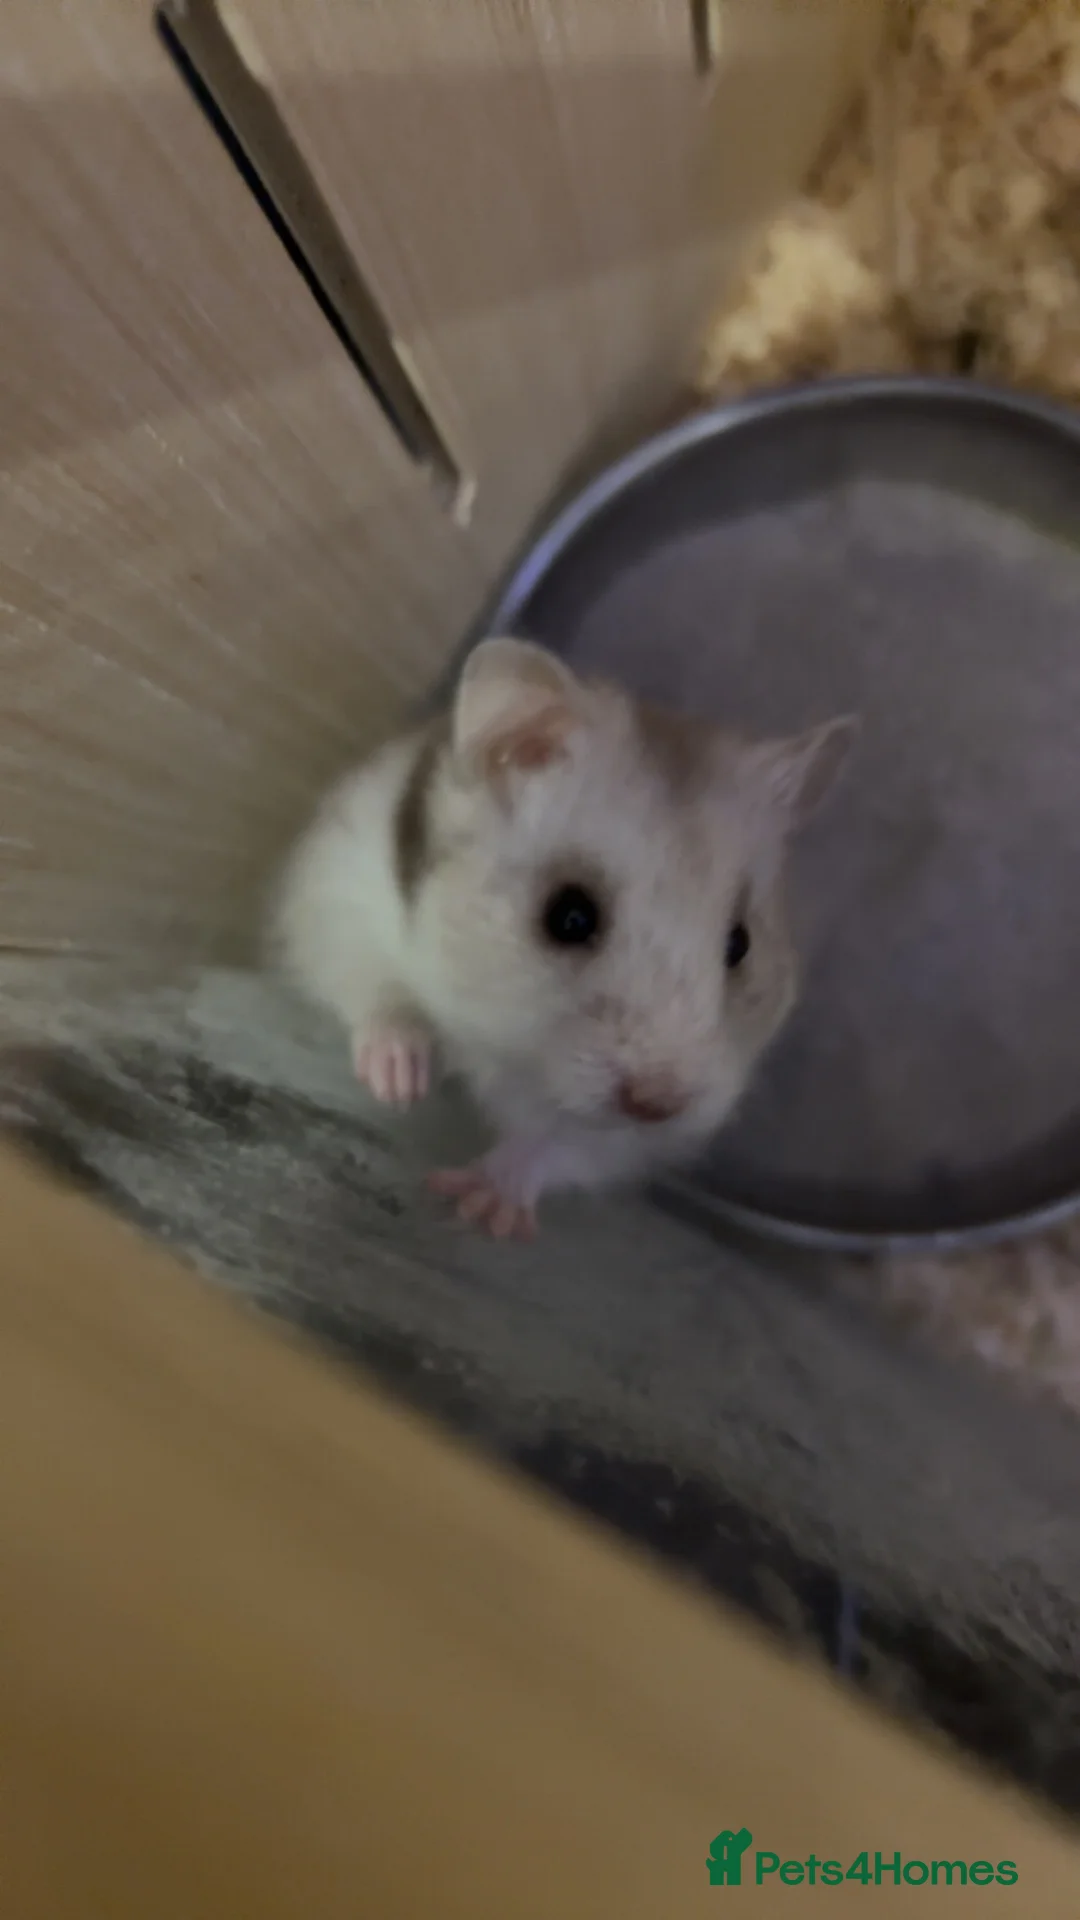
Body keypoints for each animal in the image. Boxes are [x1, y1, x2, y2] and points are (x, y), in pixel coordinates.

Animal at [270, 636, 857, 1239]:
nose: (657, 1105)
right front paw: (399, 1087)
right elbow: (379, 992)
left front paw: (482, 1210)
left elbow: (556, 1142)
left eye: (740, 945)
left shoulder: (626, 1140)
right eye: (569, 917)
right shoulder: (342, 895)